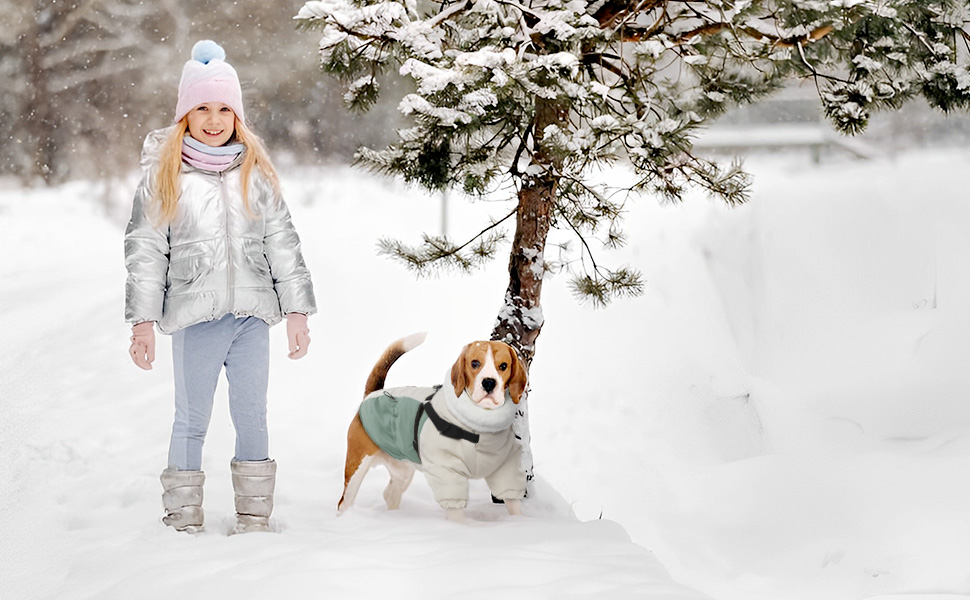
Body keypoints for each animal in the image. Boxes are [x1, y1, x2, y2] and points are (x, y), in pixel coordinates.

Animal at [336, 332, 524, 520]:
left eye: (503, 365)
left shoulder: (505, 465)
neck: (480, 424)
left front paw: (518, 521)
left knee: (390, 494)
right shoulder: (446, 471)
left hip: (402, 472)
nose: (489, 383)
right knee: (344, 502)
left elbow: (512, 500)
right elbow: (455, 510)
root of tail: (373, 394)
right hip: (356, 468)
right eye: (475, 363)